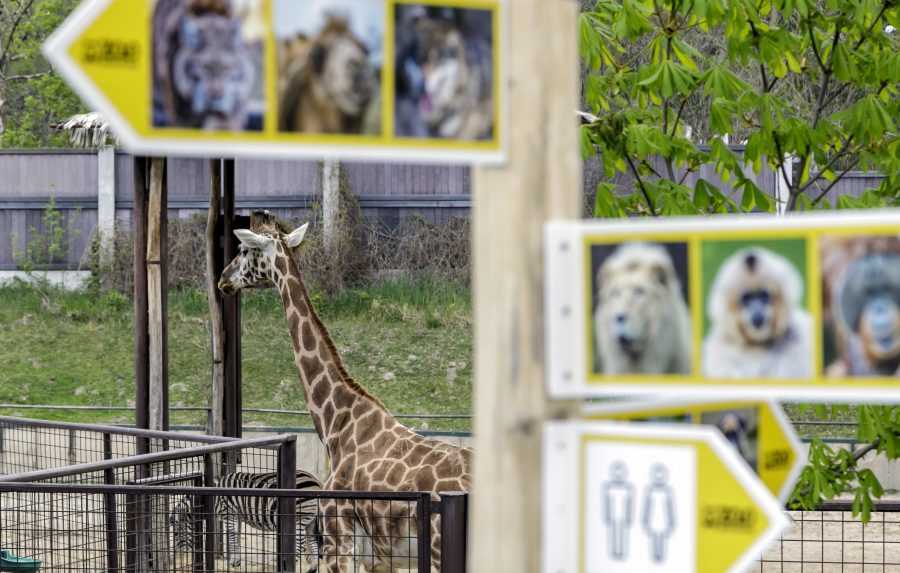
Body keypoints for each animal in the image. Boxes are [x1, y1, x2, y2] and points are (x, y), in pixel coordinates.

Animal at [170, 470, 324, 568]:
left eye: (175, 534)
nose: (179, 556)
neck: (210, 496)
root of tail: (317, 482)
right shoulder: (236, 516)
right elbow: (236, 536)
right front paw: (236, 560)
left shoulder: (229, 512)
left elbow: (231, 536)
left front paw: (233, 562)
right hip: (309, 521)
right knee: (314, 547)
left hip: (299, 518)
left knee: (299, 547)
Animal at [218, 212, 472, 568]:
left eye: (242, 250)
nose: (222, 280)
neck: (337, 422)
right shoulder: (379, 558)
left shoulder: (338, 536)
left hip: (439, 552)